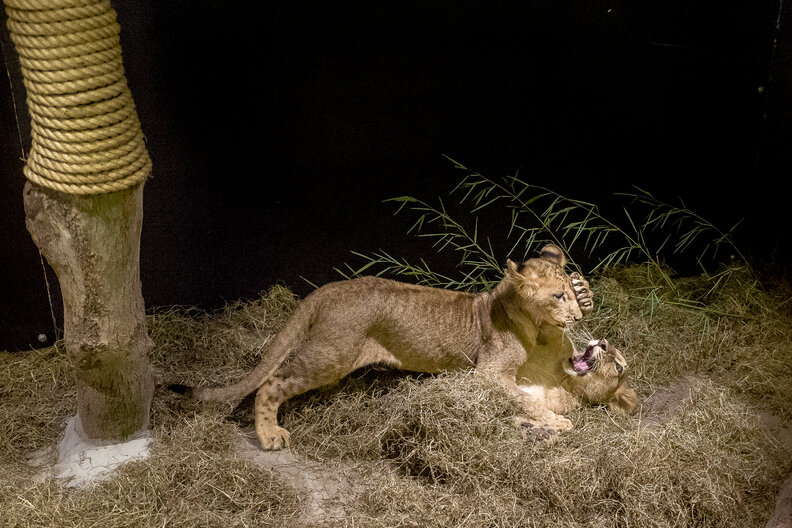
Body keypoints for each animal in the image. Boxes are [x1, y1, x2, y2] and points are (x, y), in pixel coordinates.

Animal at [173, 244, 633, 450]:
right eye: (557, 297)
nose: (576, 318)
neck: (528, 322)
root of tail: (327, 289)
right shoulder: (488, 371)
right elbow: (528, 399)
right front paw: (556, 423)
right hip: (330, 355)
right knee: (271, 383)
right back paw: (270, 435)